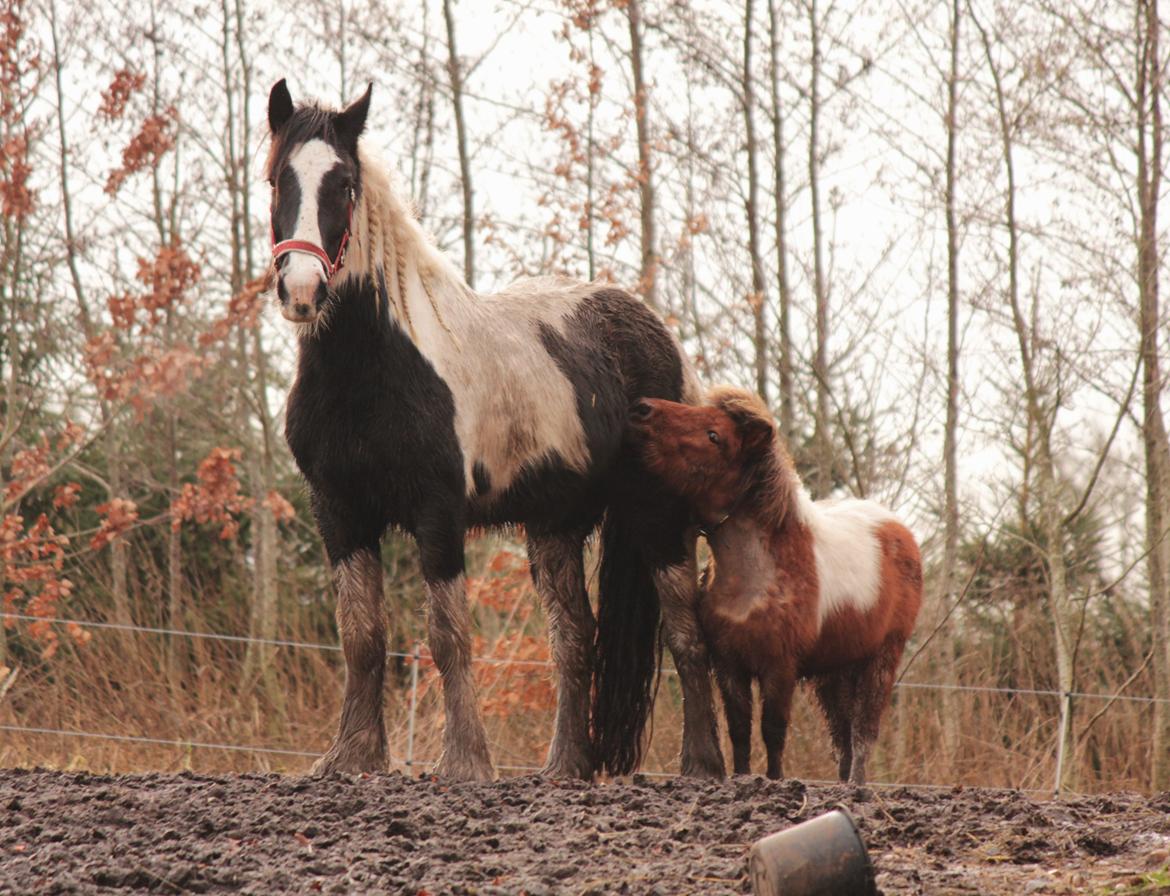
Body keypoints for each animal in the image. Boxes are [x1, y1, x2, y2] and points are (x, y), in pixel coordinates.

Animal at [265, 80, 720, 781]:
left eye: (343, 184)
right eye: (275, 180)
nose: (302, 290)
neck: (374, 366)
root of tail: (653, 330)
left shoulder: (438, 513)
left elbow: (448, 637)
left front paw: (464, 763)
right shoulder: (339, 511)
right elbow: (362, 635)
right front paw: (352, 758)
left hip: (656, 516)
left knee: (684, 629)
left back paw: (701, 764)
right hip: (555, 524)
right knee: (574, 637)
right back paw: (565, 766)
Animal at [627, 388, 917, 786]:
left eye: (715, 436)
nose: (642, 410)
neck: (752, 580)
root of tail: (899, 529)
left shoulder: (780, 668)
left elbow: (773, 730)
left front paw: (775, 780)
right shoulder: (730, 666)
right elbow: (740, 730)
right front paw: (741, 776)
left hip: (882, 659)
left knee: (863, 733)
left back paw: (857, 785)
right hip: (835, 671)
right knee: (842, 735)